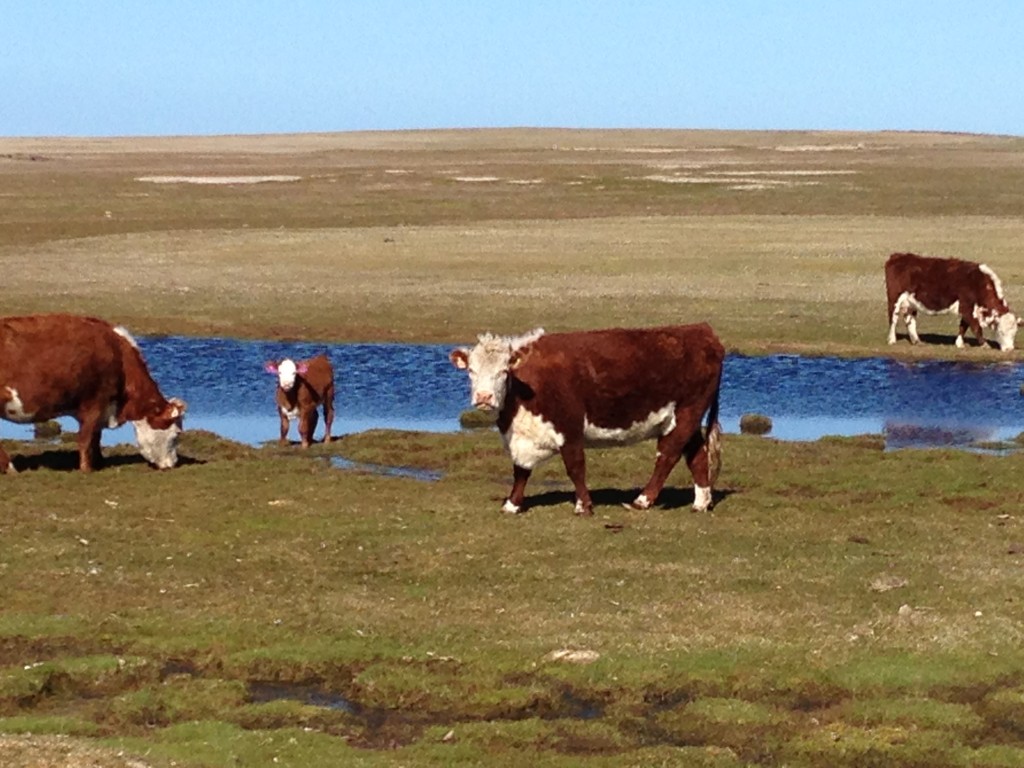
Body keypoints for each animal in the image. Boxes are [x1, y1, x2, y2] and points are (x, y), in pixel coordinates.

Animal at [0, 313, 188, 473]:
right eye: (176, 434)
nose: (173, 464)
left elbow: (96, 437)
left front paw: (99, 462)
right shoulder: (94, 402)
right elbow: (86, 437)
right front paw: (86, 469)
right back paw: (10, 468)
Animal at [452, 325, 724, 518]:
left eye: (503, 371)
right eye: (471, 371)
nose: (484, 397)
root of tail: (702, 331)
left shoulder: (569, 427)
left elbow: (575, 467)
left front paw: (583, 506)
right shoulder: (521, 436)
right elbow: (520, 470)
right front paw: (512, 504)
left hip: (687, 413)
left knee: (668, 455)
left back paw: (642, 500)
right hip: (683, 419)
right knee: (696, 455)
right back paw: (700, 503)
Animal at [884, 252, 1019, 352]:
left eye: (1014, 333)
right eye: (1001, 332)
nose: (1009, 349)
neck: (978, 283)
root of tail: (897, 256)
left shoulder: (968, 309)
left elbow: (963, 326)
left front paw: (959, 343)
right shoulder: (966, 307)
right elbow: (975, 327)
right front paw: (984, 344)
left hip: (911, 303)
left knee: (910, 320)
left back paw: (917, 341)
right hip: (894, 299)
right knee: (893, 318)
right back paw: (891, 340)